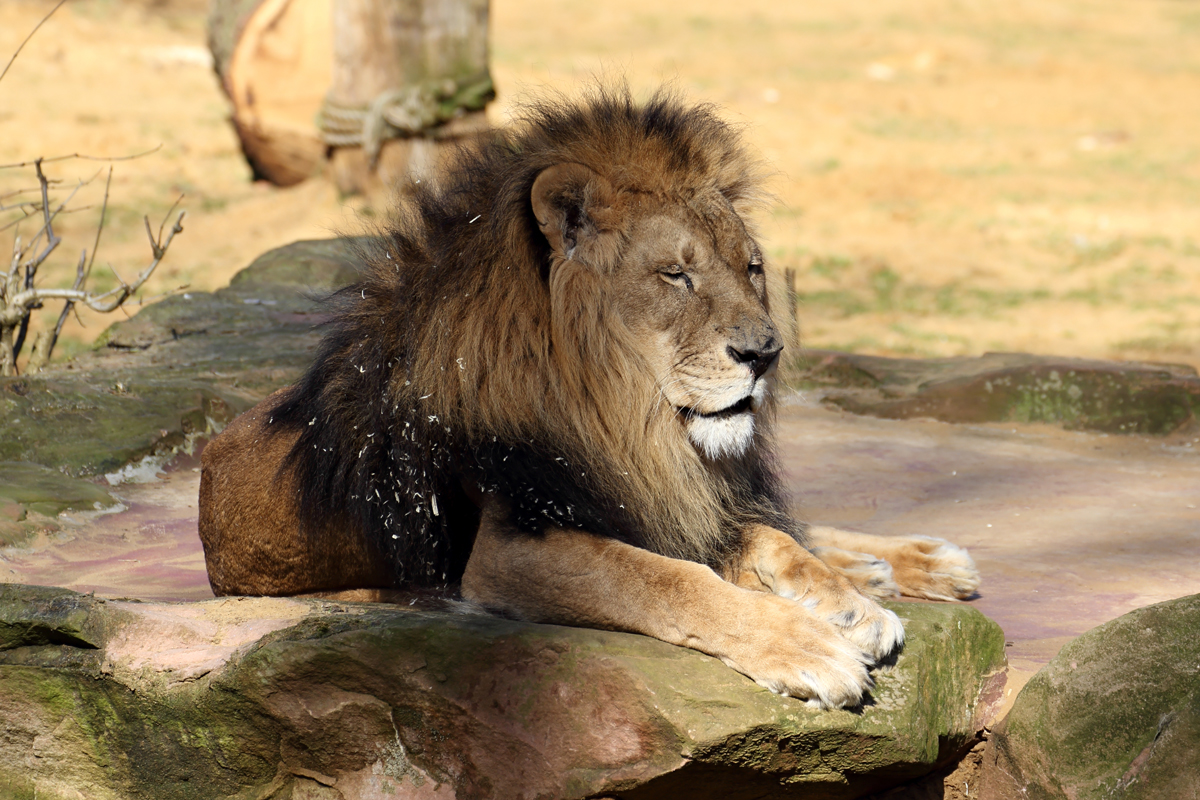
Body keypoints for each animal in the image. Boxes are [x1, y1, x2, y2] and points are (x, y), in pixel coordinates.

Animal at [196, 87, 979, 710]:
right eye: (675, 275)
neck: (624, 418)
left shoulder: (659, 494)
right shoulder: (508, 551)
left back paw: (910, 563)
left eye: (751, 269)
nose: (765, 353)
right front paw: (812, 644)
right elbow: (672, 580)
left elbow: (767, 539)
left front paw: (849, 605)